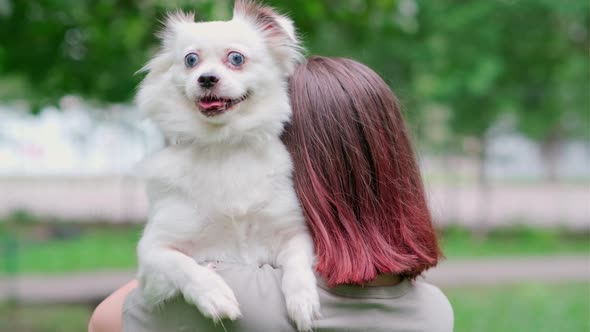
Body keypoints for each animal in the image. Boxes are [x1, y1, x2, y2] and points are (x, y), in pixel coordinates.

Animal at [135, 0, 320, 330]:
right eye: (191, 60)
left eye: (236, 58)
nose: (206, 78)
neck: (223, 146)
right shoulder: (152, 252)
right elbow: (183, 265)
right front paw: (215, 295)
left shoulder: (293, 234)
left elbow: (298, 265)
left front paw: (303, 300)